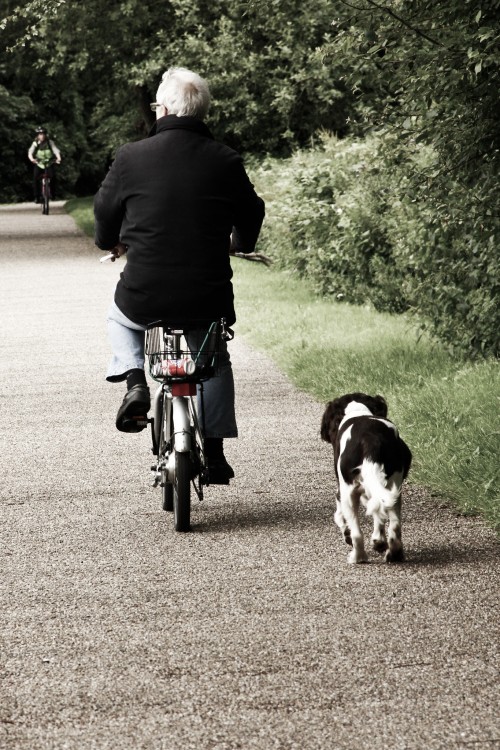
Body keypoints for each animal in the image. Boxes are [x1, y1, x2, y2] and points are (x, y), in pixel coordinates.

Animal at [322, 394, 412, 564]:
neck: (358, 410)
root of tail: (370, 439)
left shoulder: (344, 491)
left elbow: (341, 518)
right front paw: (379, 542)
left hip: (349, 494)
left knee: (357, 534)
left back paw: (358, 557)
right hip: (394, 487)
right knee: (394, 525)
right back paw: (394, 554)